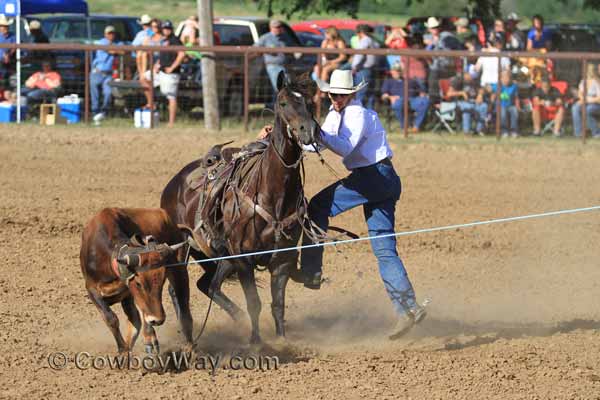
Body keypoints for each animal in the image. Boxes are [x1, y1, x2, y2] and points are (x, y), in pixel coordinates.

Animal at [159, 72, 318, 344]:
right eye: (284, 103)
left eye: (310, 102)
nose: (307, 132)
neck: (272, 192)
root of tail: (173, 184)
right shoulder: (243, 258)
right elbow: (254, 302)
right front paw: (256, 343)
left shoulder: (283, 260)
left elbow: (278, 305)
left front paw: (282, 341)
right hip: (183, 251)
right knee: (179, 289)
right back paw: (188, 334)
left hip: (213, 255)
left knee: (207, 285)